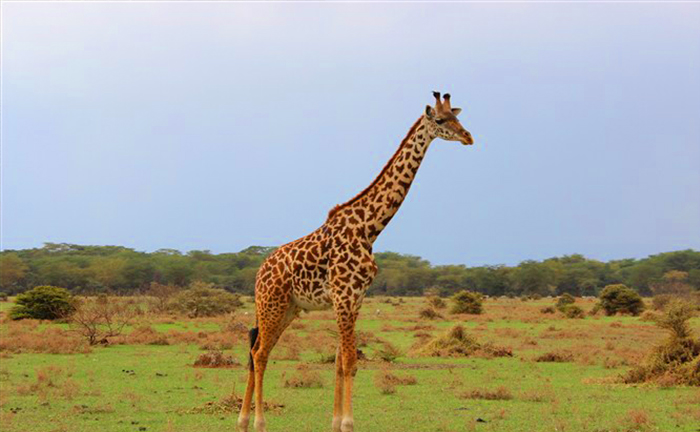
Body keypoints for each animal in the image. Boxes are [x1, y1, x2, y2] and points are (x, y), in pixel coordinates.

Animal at [238, 91, 474, 432]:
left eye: (459, 118)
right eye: (442, 120)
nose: (468, 136)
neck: (369, 228)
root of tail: (259, 274)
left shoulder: (356, 298)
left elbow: (340, 361)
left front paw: (336, 422)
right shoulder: (344, 296)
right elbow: (350, 360)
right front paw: (348, 423)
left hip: (288, 309)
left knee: (257, 349)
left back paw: (242, 420)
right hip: (272, 305)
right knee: (259, 354)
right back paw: (258, 422)